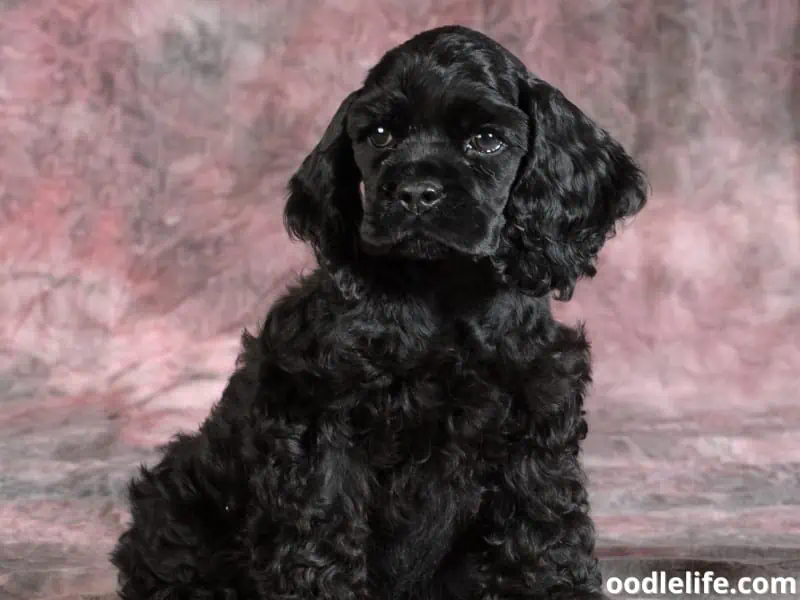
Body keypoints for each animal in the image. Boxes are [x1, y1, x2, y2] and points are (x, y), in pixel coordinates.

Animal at [112, 25, 648, 600]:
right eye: (381, 134)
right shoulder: (321, 428)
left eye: (486, 140)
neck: (441, 295)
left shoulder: (536, 420)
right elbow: (319, 541)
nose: (415, 193)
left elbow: (544, 536)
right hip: (179, 504)